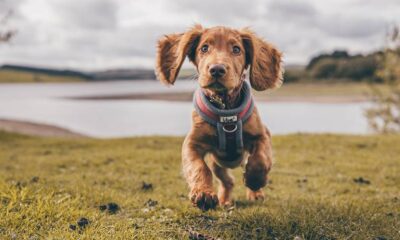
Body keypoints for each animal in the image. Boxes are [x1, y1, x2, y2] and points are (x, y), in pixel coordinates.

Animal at [155, 25, 282, 211]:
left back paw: (255, 193)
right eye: (204, 48)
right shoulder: (191, 144)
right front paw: (203, 193)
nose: (216, 69)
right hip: (218, 164)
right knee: (228, 181)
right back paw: (225, 200)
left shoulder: (263, 134)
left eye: (236, 49)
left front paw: (255, 181)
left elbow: (260, 159)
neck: (226, 110)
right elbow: (198, 167)